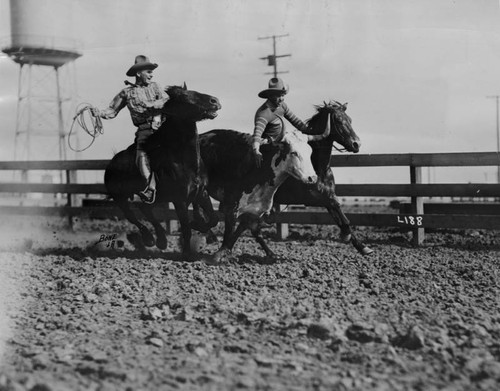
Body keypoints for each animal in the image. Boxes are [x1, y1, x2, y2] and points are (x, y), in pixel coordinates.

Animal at [104, 83, 221, 260]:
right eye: (185, 97)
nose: (215, 101)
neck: (185, 162)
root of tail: (112, 163)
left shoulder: (201, 193)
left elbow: (213, 218)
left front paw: (199, 225)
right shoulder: (179, 200)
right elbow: (186, 228)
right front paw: (187, 254)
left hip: (157, 197)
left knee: (145, 208)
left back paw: (161, 240)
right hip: (120, 197)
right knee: (132, 215)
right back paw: (150, 239)